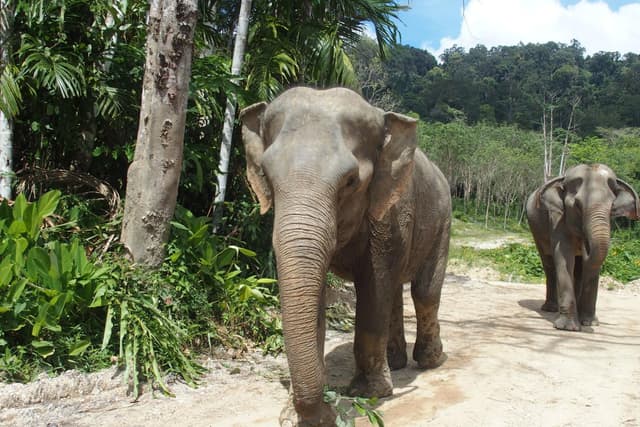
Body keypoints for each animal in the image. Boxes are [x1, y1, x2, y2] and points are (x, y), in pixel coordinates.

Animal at [240, 87, 451, 426]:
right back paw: (396, 362)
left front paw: (369, 394)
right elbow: (318, 297)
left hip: (442, 220)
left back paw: (430, 360)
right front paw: (295, 416)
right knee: (395, 292)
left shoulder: (389, 211)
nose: (329, 410)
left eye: (351, 181)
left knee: (424, 291)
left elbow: (373, 288)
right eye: (268, 178)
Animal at [526, 164, 639, 331]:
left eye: (612, 206)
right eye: (577, 205)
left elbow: (588, 262)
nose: (585, 241)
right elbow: (564, 256)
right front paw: (568, 327)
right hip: (536, 230)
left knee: (578, 268)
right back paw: (550, 309)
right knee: (549, 264)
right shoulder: (557, 217)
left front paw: (590, 323)